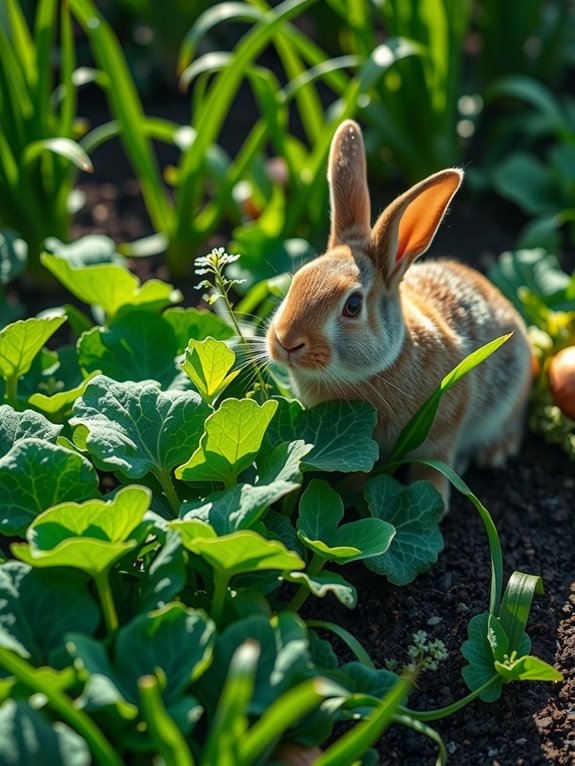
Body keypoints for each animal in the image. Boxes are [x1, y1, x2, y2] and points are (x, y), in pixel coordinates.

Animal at [266, 119, 533, 509]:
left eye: (353, 305)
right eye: (296, 280)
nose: (286, 342)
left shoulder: (446, 423)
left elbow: (435, 459)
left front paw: (435, 499)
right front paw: (351, 491)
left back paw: (494, 452)